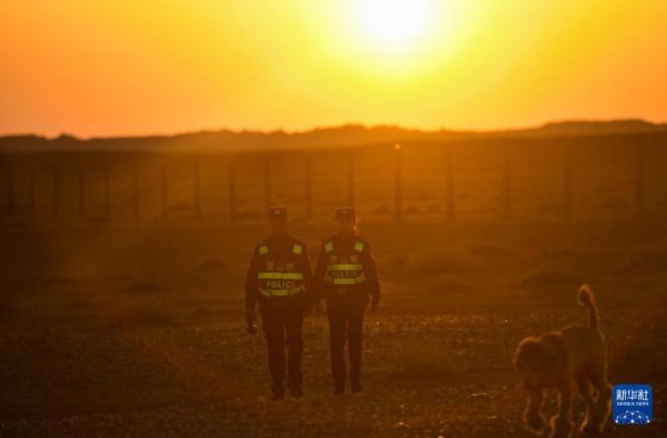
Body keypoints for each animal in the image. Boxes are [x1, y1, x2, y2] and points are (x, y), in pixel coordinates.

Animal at [516, 284, 612, 438]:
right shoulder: (537, 386)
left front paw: (559, 431)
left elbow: (563, 413)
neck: (549, 365)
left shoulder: (564, 387)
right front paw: (536, 423)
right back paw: (590, 424)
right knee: (591, 402)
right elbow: (533, 407)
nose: (526, 386)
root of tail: (592, 328)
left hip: (594, 370)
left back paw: (598, 420)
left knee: (605, 391)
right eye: (522, 367)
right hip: (581, 378)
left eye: (535, 366)